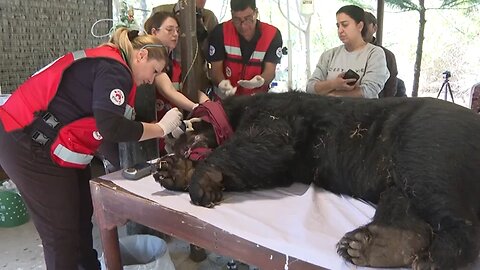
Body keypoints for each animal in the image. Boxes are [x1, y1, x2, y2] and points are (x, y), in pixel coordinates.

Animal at [154, 92, 480, 268]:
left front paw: (199, 180)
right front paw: (174, 171)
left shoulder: (276, 115)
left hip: (428, 139)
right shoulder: (288, 165)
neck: (235, 112)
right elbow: (260, 168)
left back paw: (434, 256)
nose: (169, 140)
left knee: (433, 192)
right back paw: (375, 244)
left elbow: (267, 142)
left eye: (183, 130)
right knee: (401, 198)